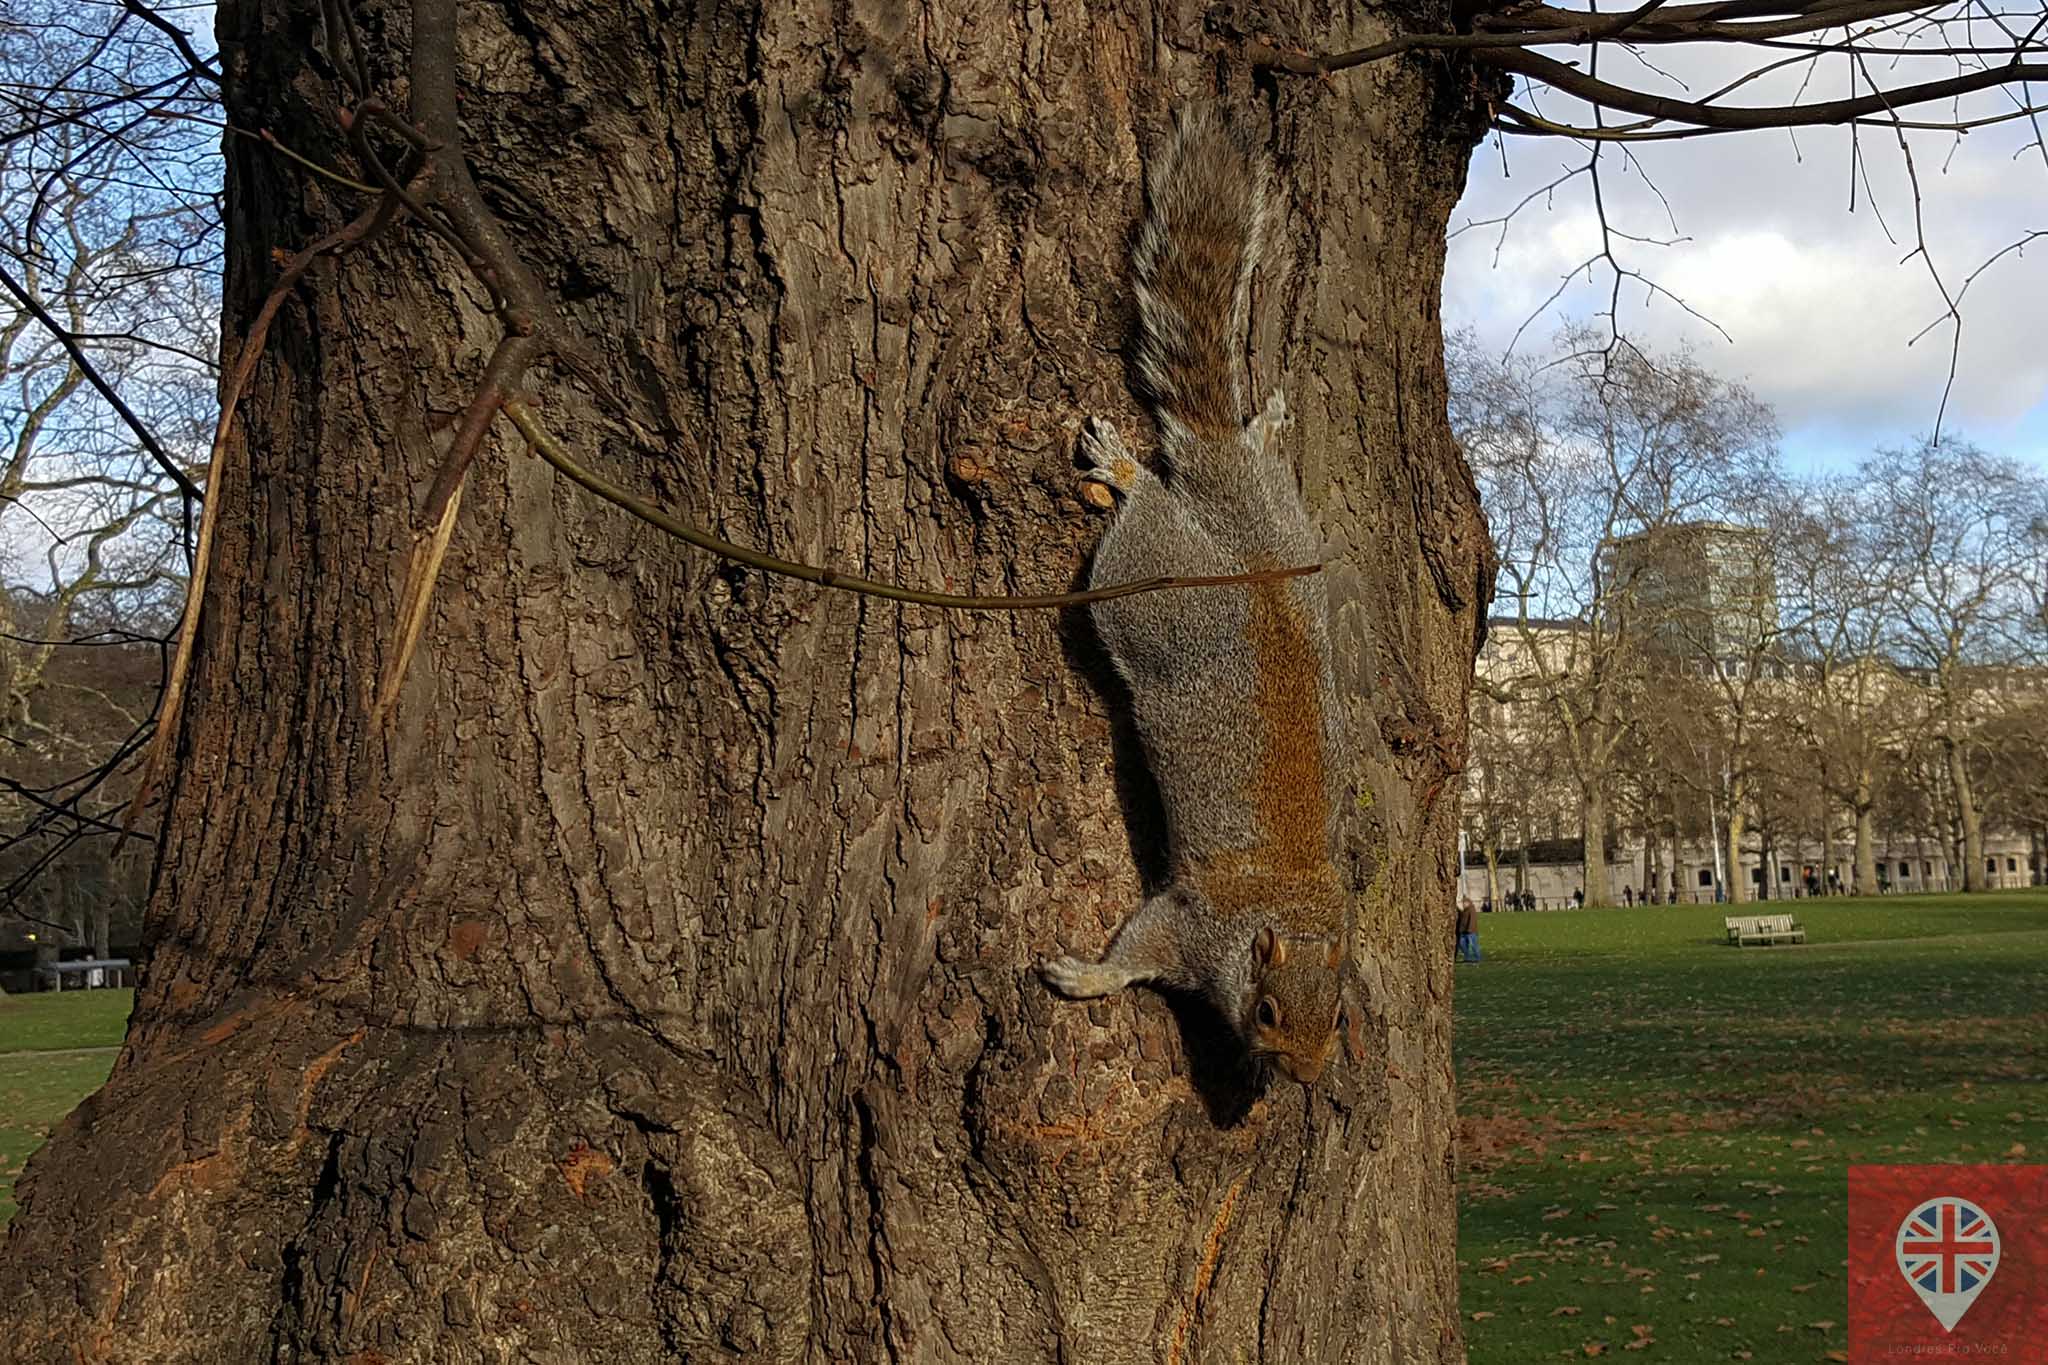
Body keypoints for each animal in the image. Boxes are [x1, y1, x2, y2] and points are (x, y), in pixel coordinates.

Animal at [1040, 106, 1364, 1086]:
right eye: (1266, 1011)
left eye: (1340, 1015)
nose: (1303, 1077)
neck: (1288, 913)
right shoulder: (1190, 922)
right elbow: (1137, 949)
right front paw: (1088, 976)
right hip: (1148, 581)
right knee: (1146, 503)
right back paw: (1124, 467)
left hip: (1289, 532)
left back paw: (1264, 428)